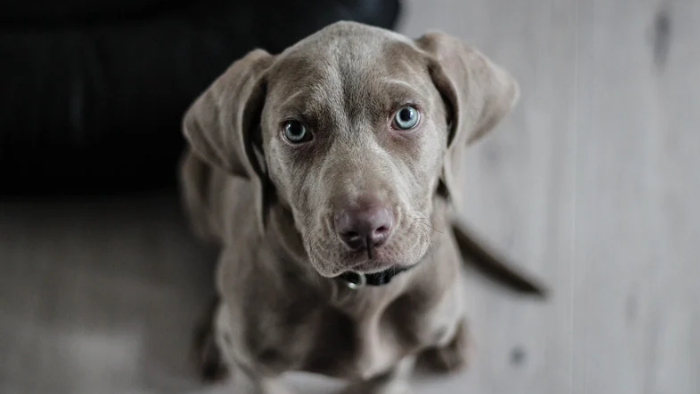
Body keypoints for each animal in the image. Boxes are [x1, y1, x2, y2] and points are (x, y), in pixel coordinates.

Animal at [178, 20, 544, 394]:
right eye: (295, 130)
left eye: (406, 116)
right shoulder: (258, 368)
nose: (366, 228)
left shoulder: (393, 365)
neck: (361, 295)